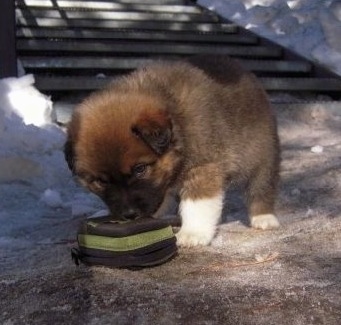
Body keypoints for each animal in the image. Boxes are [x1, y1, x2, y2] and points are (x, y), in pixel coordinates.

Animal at [65, 55, 280, 246]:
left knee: (261, 186)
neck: (176, 121)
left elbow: (198, 202)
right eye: (100, 181)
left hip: (263, 153)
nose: (129, 215)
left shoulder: (203, 166)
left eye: (140, 169)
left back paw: (264, 217)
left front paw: (193, 233)